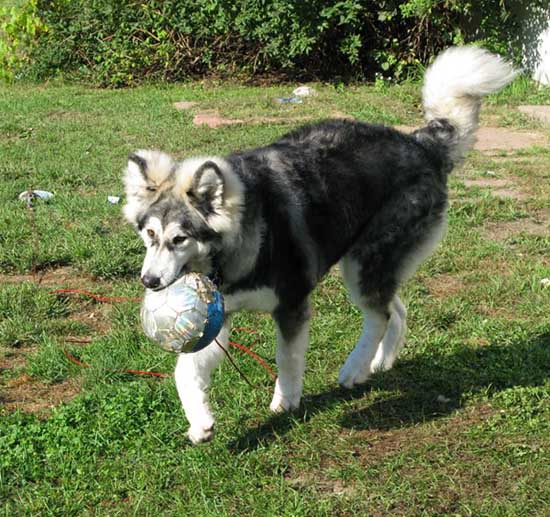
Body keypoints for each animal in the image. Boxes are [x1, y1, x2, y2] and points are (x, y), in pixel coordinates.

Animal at [123, 46, 516, 442]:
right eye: (150, 235)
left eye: (180, 238)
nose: (149, 282)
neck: (247, 236)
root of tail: (420, 143)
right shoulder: (217, 315)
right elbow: (184, 370)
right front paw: (200, 422)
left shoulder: (292, 305)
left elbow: (287, 358)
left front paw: (285, 401)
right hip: (370, 266)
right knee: (395, 309)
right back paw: (378, 363)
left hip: (363, 262)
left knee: (380, 314)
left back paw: (354, 369)